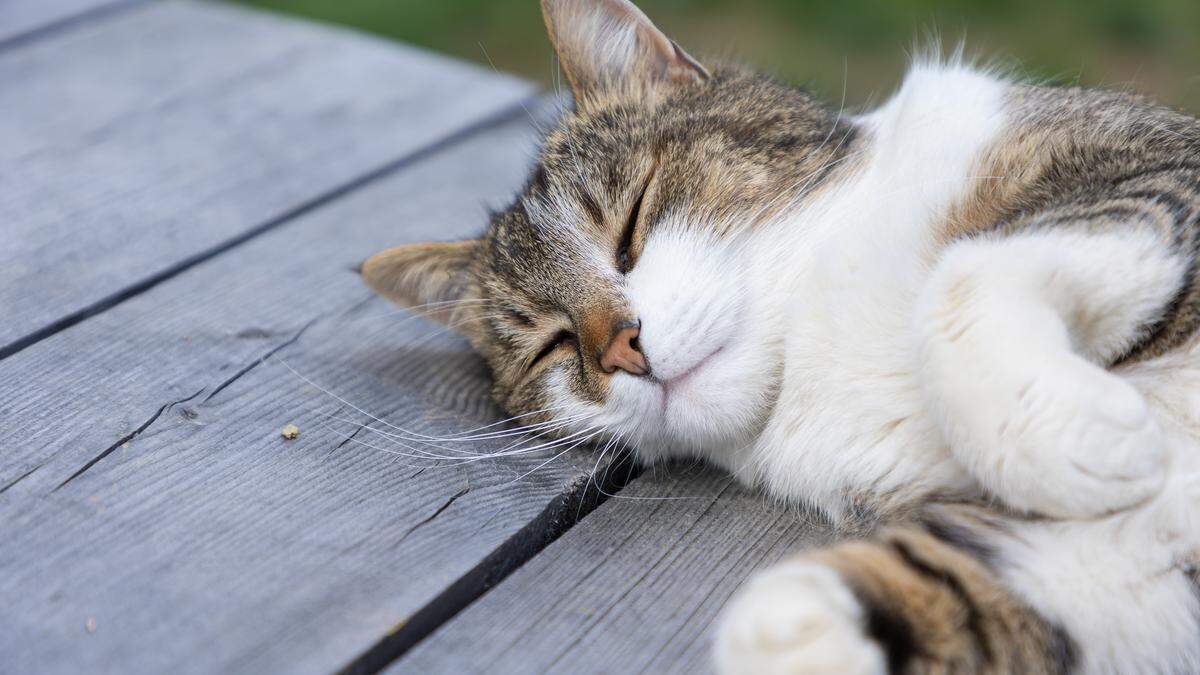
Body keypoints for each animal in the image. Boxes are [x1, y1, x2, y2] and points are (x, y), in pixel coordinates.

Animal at [357, 0, 1200, 667]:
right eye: (552, 343)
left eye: (632, 219)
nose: (621, 347)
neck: (817, 338)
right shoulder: (1104, 555)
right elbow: (954, 583)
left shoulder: (1145, 166)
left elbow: (961, 280)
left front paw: (1074, 436)